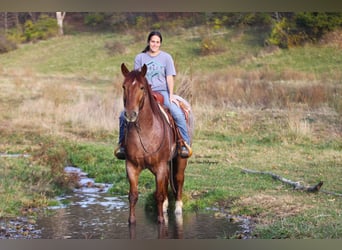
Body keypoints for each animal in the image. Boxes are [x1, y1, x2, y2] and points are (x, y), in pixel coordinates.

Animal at [121, 63, 194, 225]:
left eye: (142, 87)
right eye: (124, 86)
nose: (130, 114)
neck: (145, 132)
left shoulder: (160, 166)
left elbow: (159, 195)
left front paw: (161, 219)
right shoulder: (131, 166)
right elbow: (133, 195)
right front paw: (131, 220)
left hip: (180, 160)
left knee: (178, 179)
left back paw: (177, 208)